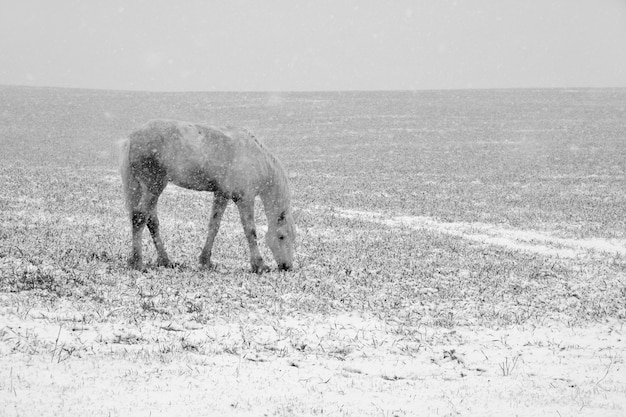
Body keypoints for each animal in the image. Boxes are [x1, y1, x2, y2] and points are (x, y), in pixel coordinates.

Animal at [119, 118, 294, 272]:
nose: (287, 267)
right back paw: (138, 263)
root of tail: (132, 138)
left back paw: (165, 261)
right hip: (153, 186)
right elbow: (250, 231)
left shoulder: (222, 195)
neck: (258, 159)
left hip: (145, 188)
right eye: (282, 237)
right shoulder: (245, 198)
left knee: (152, 221)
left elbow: (214, 226)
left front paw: (206, 261)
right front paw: (259, 265)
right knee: (140, 217)